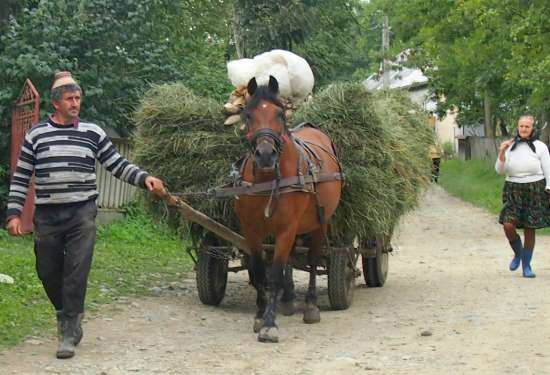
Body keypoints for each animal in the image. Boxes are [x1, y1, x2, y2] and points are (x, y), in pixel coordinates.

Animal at [236, 75, 344, 342]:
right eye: (248, 115)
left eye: (280, 114)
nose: (265, 155)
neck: (268, 180)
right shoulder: (250, 229)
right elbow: (259, 270)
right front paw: (260, 313)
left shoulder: (286, 227)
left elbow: (274, 274)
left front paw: (269, 323)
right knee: (291, 258)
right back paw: (287, 299)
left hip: (320, 222)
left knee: (313, 259)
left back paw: (311, 306)